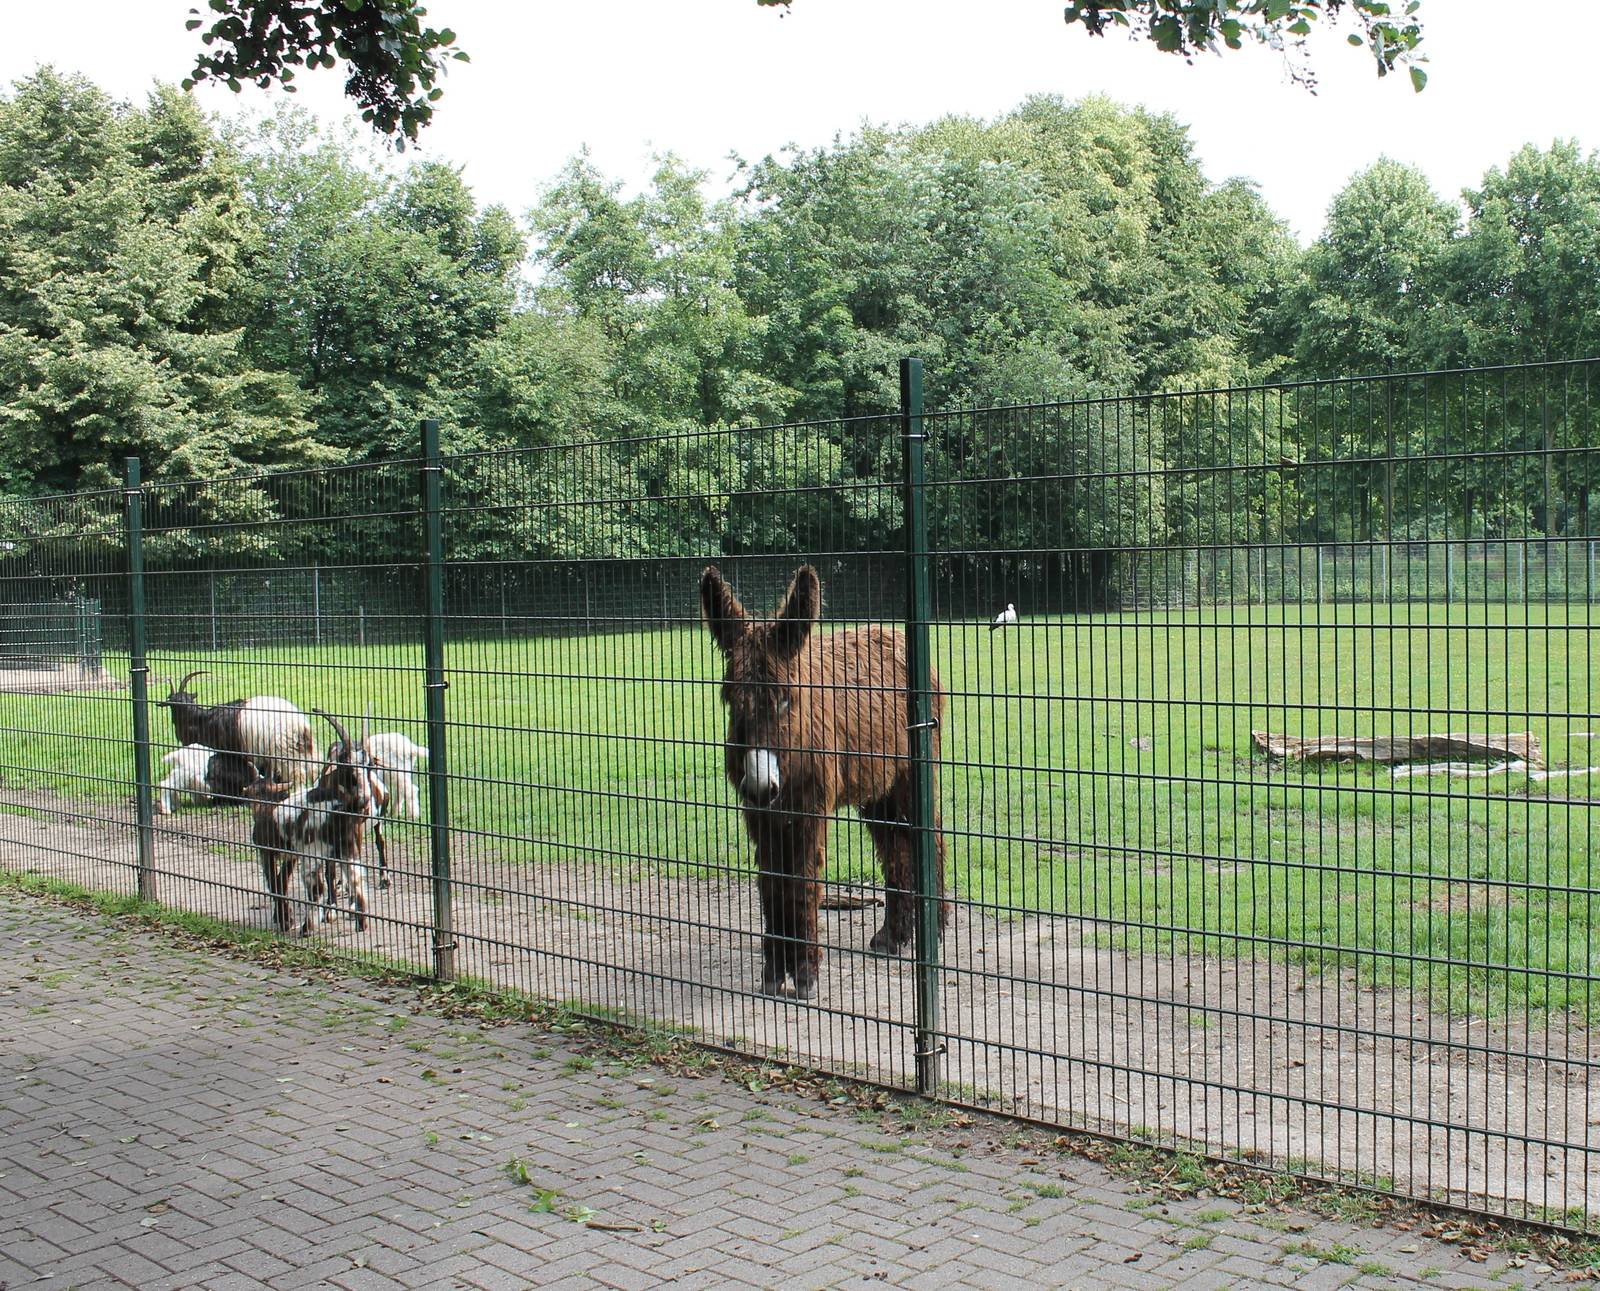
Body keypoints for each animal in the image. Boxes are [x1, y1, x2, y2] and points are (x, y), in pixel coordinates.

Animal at [160, 670, 317, 785]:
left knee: (298, 774)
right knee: (312, 770)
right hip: (302, 748)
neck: (199, 721)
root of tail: (299, 723)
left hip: (283, 750)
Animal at [701, 564, 951, 1000]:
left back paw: (932, 931)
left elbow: (803, 884)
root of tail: (895, 633)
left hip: (910, 775)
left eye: (786, 699)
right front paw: (773, 971)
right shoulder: (759, 815)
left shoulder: (809, 808)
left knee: (928, 839)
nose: (762, 786)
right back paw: (892, 938)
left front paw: (804, 975)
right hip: (878, 789)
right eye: (730, 700)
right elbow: (772, 887)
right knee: (895, 849)